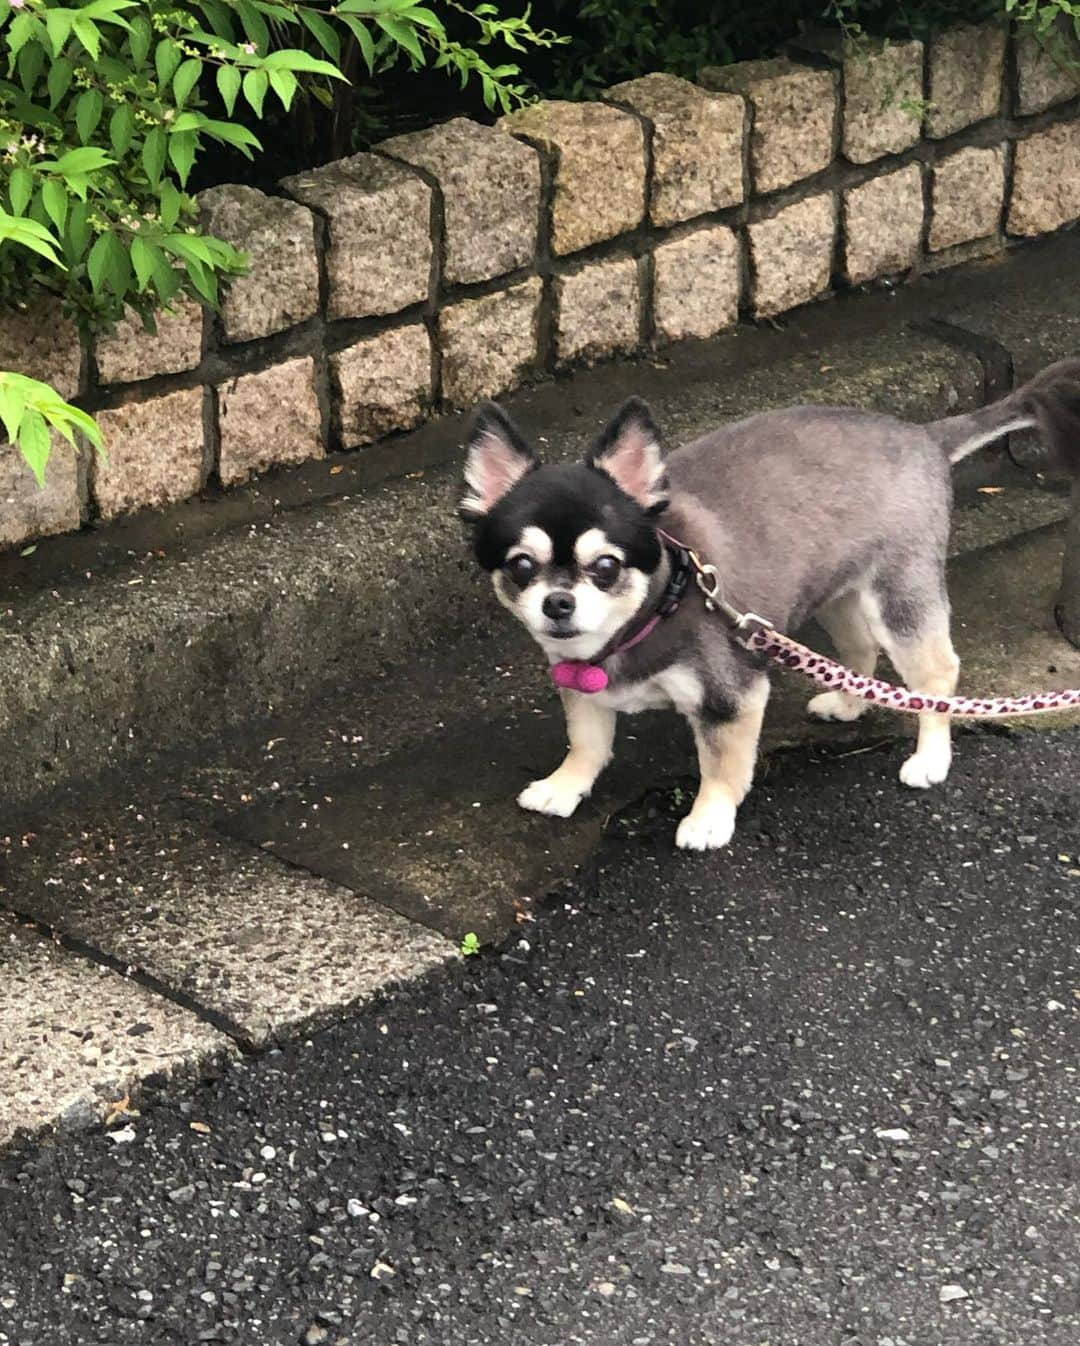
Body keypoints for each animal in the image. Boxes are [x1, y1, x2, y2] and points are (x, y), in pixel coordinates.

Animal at [460, 366, 1077, 850]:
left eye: (606, 566)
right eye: (521, 566)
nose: (558, 603)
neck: (653, 609)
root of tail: (923, 434)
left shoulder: (732, 697)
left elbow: (721, 767)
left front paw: (709, 819)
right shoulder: (582, 688)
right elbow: (588, 743)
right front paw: (564, 786)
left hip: (899, 592)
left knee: (935, 675)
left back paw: (930, 757)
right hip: (835, 591)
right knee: (858, 648)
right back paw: (848, 704)